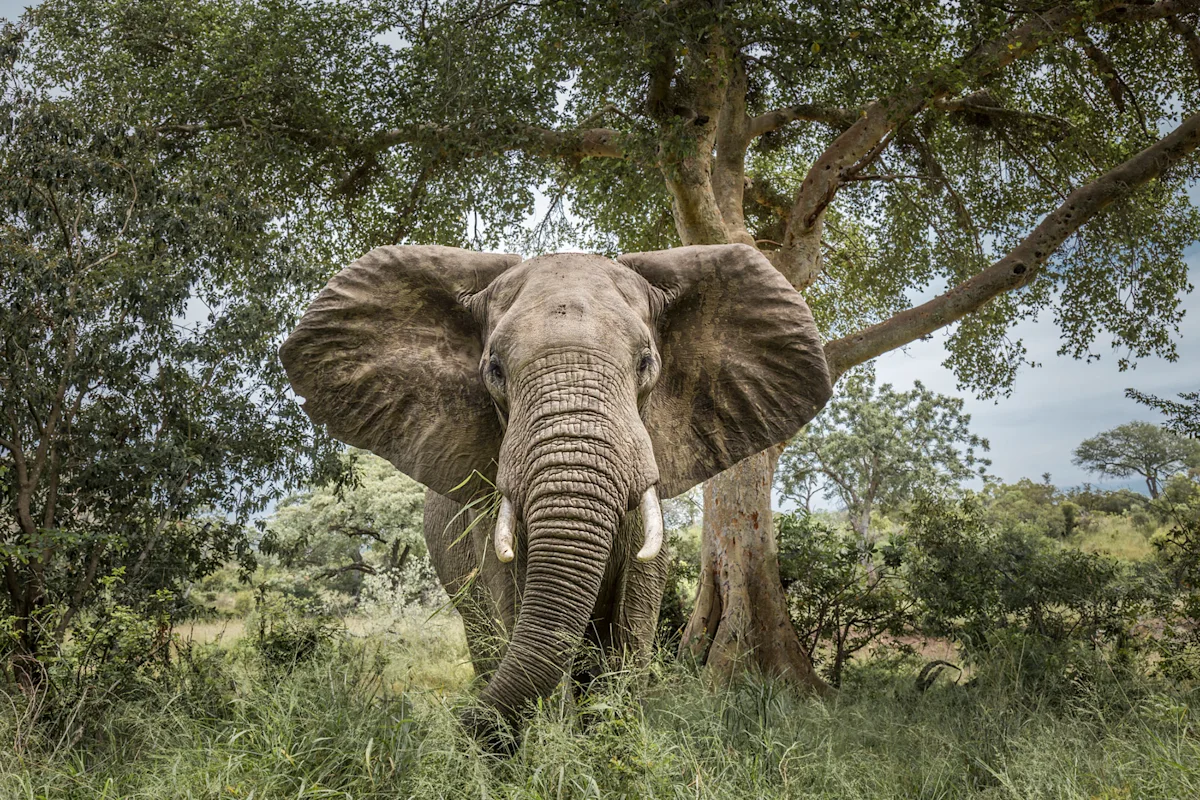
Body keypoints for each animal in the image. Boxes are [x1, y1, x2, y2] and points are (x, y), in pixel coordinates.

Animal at [279, 242, 832, 741]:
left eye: (646, 363)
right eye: (494, 370)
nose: (461, 729)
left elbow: (632, 623)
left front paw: (613, 747)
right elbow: (519, 601)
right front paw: (551, 750)